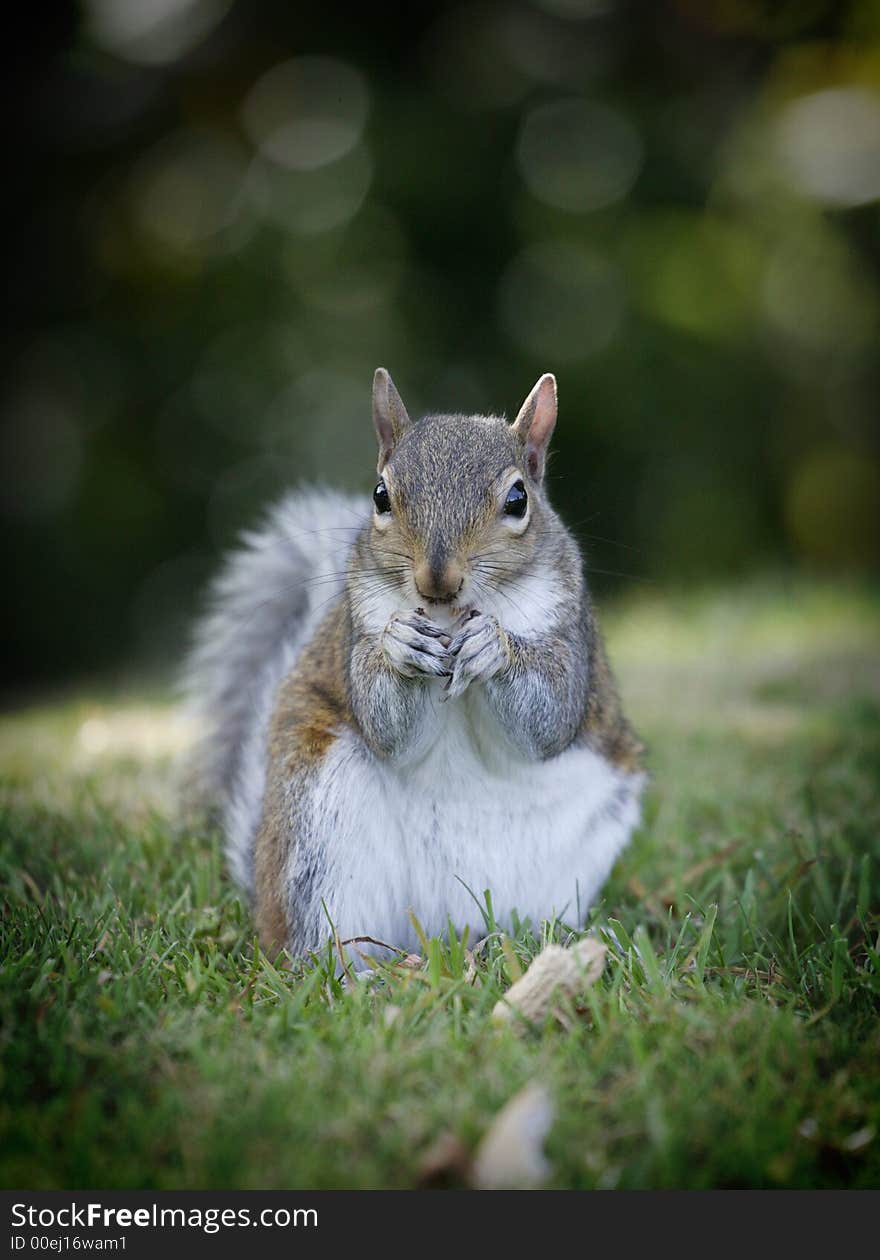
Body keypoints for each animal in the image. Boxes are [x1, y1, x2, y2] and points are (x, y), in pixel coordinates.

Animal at [185, 367, 640, 957]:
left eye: (518, 499)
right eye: (380, 495)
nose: (437, 580)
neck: (450, 618)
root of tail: (437, 931)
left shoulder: (569, 633)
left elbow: (550, 717)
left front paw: (494, 648)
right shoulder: (356, 629)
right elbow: (388, 726)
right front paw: (401, 648)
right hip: (320, 830)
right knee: (320, 943)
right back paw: (358, 969)